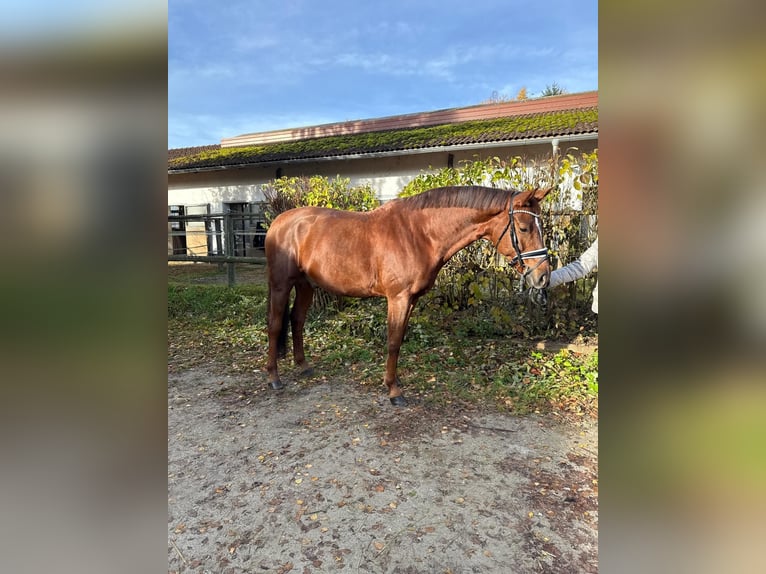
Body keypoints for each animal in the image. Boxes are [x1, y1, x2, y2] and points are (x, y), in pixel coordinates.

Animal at [265, 185, 552, 405]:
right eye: (524, 228)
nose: (543, 276)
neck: (418, 233)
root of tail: (278, 222)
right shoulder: (398, 298)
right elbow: (393, 341)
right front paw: (394, 391)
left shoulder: (411, 299)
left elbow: (400, 340)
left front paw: (394, 380)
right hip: (281, 285)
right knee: (275, 325)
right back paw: (274, 378)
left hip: (306, 285)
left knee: (297, 320)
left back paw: (303, 366)